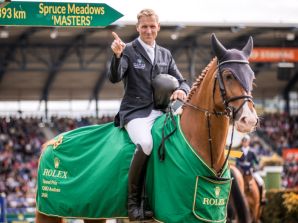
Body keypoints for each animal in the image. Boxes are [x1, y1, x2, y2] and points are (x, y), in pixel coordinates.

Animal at [35, 33, 258, 223]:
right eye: (228, 75)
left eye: (252, 76)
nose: (249, 120)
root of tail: (52, 141)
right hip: (47, 212)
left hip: (93, 213)